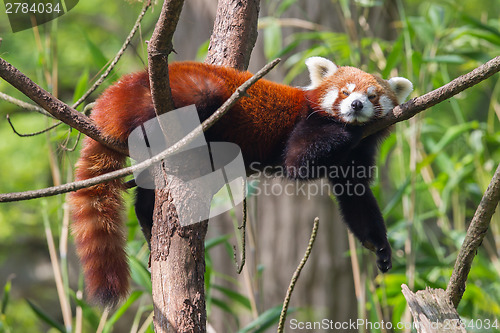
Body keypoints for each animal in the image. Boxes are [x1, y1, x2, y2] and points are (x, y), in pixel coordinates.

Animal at [68, 57, 412, 306]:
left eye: (372, 96)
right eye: (345, 91)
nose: (356, 106)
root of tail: (125, 86)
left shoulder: (357, 157)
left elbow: (357, 197)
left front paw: (379, 246)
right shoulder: (308, 126)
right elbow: (297, 162)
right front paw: (348, 127)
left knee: (148, 193)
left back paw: (147, 220)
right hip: (189, 93)